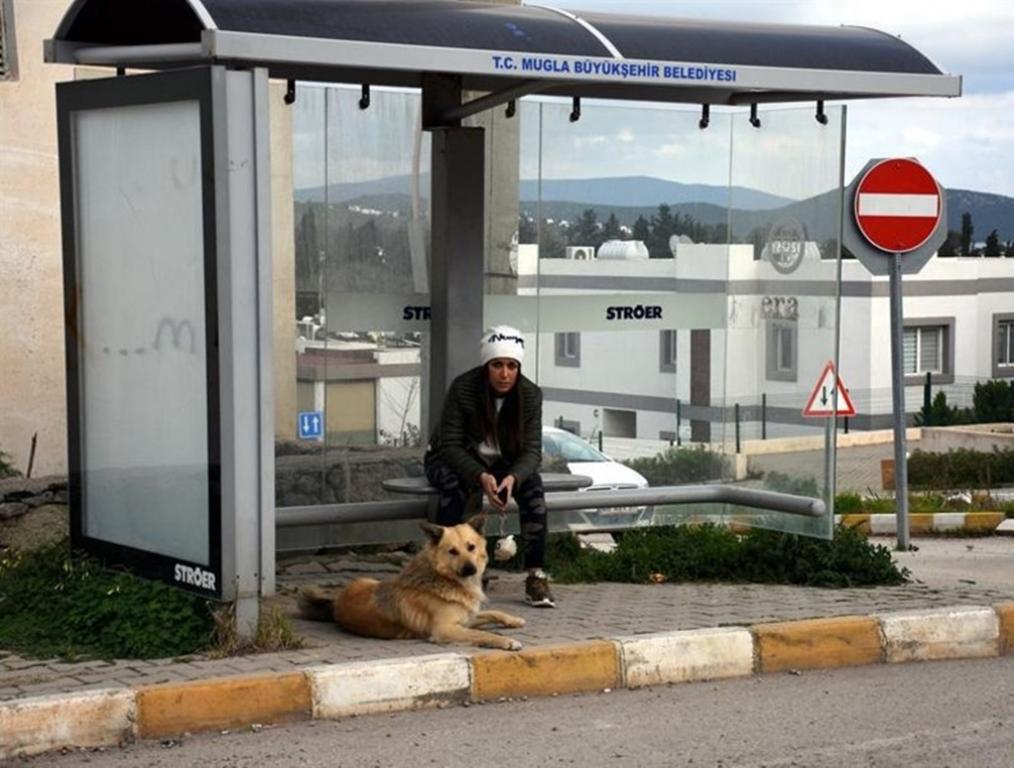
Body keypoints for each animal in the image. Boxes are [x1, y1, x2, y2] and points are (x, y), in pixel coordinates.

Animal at [298, 515, 526, 651]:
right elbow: (482, 633)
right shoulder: (445, 629)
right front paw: (507, 641)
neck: (444, 579)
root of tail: (336, 603)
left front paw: (513, 620)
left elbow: (492, 613)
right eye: (453, 551)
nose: (471, 569)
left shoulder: (465, 619)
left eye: (471, 547)